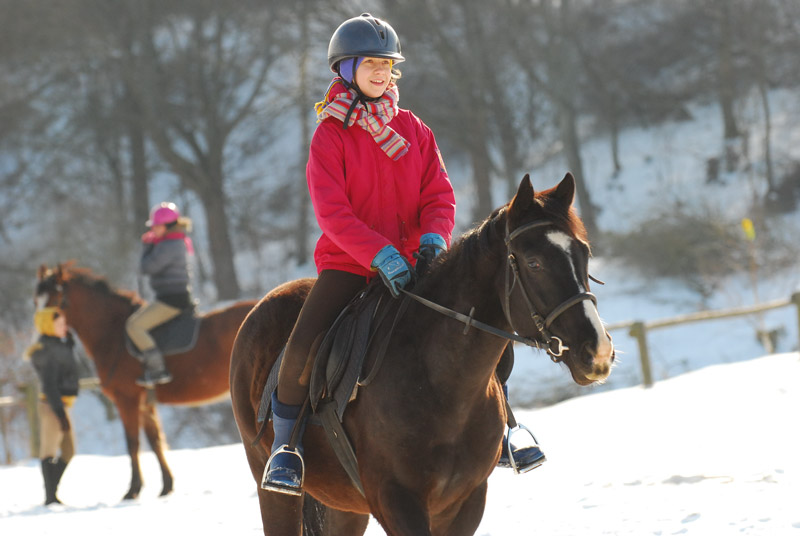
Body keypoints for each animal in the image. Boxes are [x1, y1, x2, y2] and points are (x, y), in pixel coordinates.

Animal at [35, 262, 256, 500]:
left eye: (55, 299)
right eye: (36, 300)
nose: (41, 335)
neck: (113, 334)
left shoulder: (127, 400)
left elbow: (133, 443)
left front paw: (132, 490)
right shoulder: (145, 403)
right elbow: (155, 441)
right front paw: (166, 486)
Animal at [228, 174, 616, 532]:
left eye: (584, 254)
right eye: (533, 262)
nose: (598, 351)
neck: (441, 383)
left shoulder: (466, 501)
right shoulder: (395, 501)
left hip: (345, 508)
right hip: (274, 491)